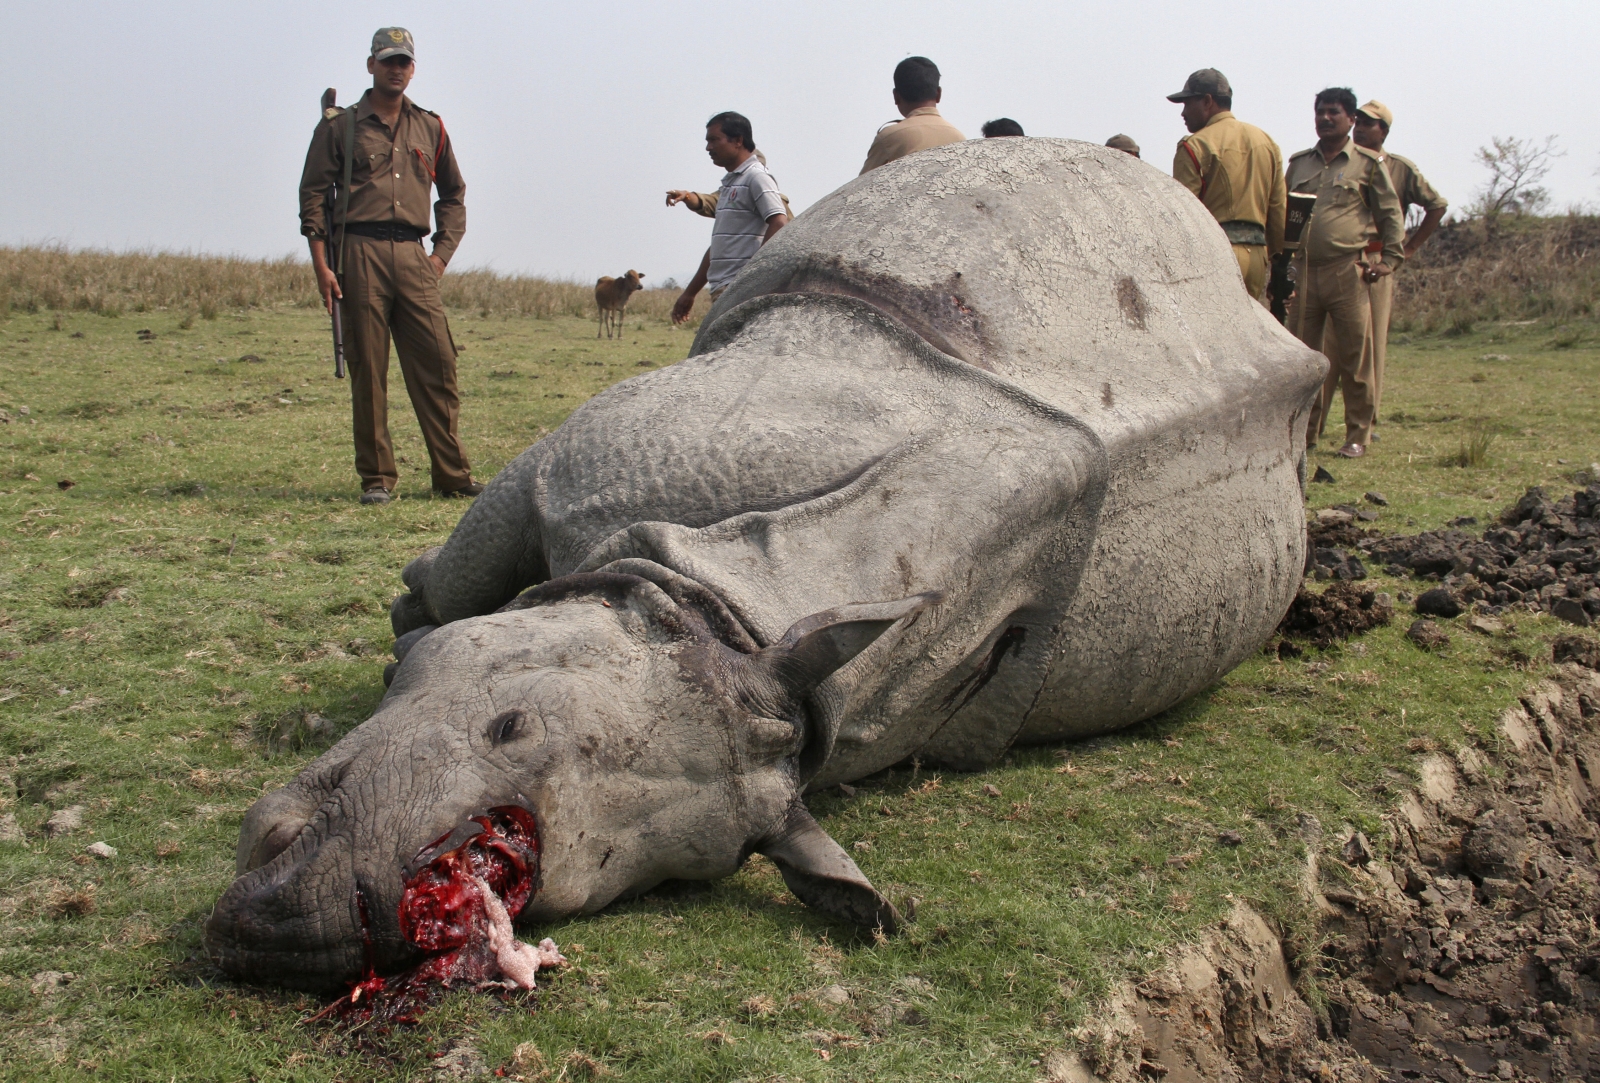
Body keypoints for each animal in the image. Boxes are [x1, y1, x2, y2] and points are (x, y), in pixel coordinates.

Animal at [207, 138, 1324, 991]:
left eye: (577, 880)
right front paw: (385, 643)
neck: (725, 612)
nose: (315, 914)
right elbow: (445, 586)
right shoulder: (583, 464)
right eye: (508, 724)